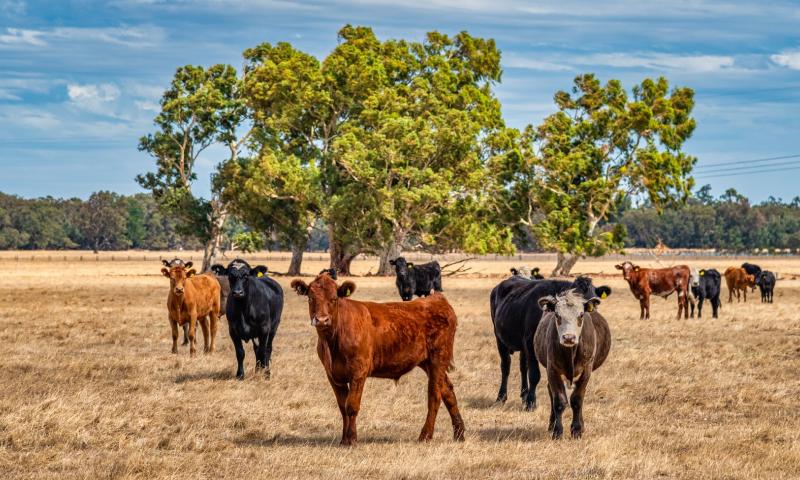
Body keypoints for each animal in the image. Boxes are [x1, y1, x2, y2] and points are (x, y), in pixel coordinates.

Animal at [290, 271, 465, 446]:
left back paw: (425, 435)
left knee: (434, 395)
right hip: (427, 362)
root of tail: (436, 299)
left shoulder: (359, 371)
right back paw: (459, 433)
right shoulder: (333, 375)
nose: (321, 320)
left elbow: (351, 406)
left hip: (438, 358)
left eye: (334, 298)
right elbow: (342, 407)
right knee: (447, 390)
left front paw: (352, 439)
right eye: (310, 298)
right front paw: (344, 440)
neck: (332, 342)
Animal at [490, 275, 611, 411]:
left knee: (523, 367)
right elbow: (534, 375)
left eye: (593, 302)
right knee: (506, 367)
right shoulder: (530, 344)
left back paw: (524, 396)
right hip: (499, 338)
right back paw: (501, 398)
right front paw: (531, 403)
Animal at [534, 288, 610, 439]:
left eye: (581, 315)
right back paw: (551, 424)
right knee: (551, 393)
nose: (568, 337)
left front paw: (577, 430)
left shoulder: (586, 370)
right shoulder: (552, 369)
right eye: (557, 315)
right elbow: (559, 401)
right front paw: (557, 431)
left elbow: (577, 400)